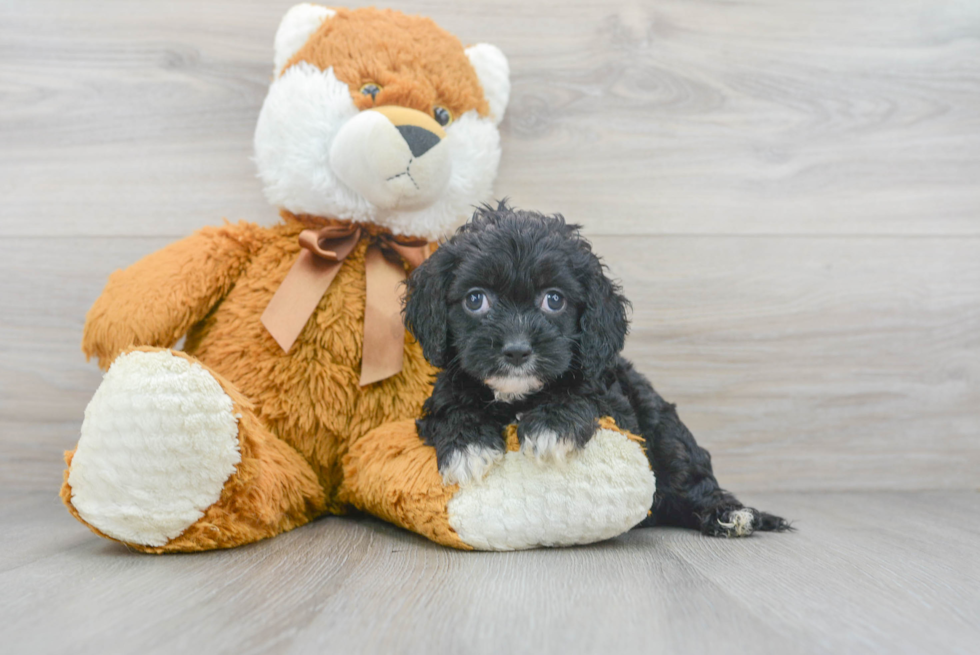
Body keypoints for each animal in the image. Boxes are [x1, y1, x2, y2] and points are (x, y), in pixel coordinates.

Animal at [402, 204, 792, 540]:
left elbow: (583, 392)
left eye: (554, 299)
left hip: (666, 433)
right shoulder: (442, 393)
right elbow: (451, 405)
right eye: (475, 299)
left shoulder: (615, 403)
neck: (515, 395)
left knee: (691, 479)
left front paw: (551, 426)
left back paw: (731, 515)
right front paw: (467, 446)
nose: (516, 350)